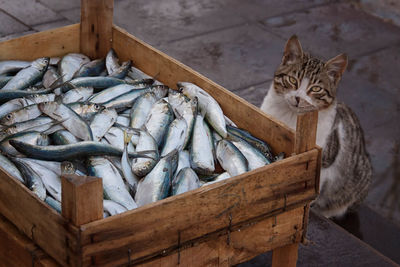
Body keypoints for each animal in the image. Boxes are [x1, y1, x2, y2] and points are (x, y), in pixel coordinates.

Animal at [260, 35, 374, 219]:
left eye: (316, 88)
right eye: (292, 80)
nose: (298, 98)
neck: (291, 117)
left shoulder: (326, 159)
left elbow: (315, 187)